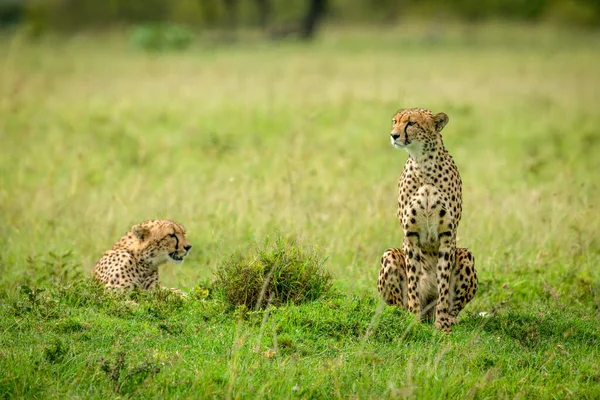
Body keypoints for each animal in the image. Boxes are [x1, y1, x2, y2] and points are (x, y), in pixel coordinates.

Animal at [380, 108, 478, 332]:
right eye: (395, 121)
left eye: (411, 123)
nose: (394, 135)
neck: (422, 162)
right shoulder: (411, 234)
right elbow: (413, 282)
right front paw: (412, 320)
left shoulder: (447, 235)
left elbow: (443, 283)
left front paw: (441, 325)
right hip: (390, 254)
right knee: (398, 303)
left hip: (466, 255)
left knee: (453, 307)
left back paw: (448, 319)